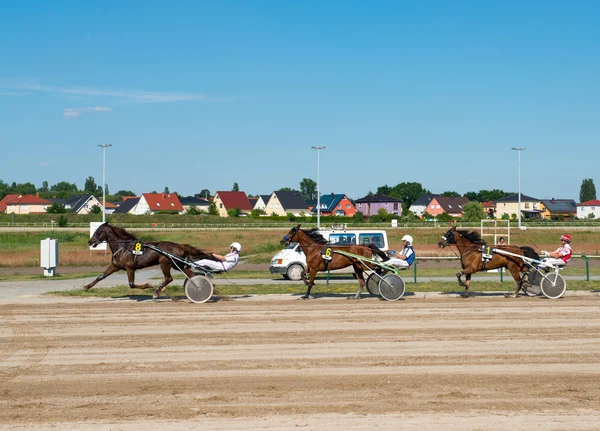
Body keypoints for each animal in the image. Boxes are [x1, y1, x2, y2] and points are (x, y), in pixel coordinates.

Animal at [83, 224, 217, 298]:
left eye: (97, 231)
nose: (89, 241)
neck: (123, 247)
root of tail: (180, 246)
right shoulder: (115, 266)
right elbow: (101, 276)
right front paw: (86, 286)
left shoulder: (130, 268)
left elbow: (131, 284)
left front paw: (147, 285)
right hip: (177, 264)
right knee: (192, 275)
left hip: (165, 263)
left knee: (169, 278)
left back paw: (157, 291)